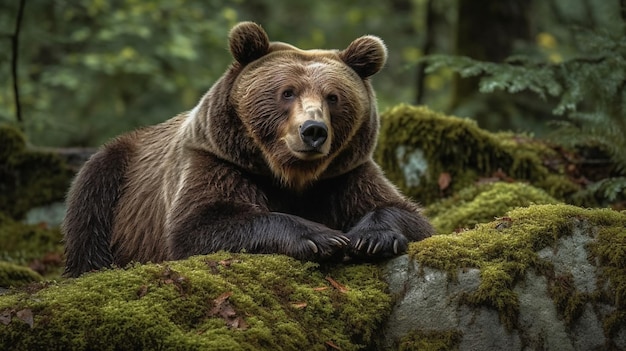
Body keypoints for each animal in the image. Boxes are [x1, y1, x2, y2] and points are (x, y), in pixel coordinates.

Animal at [63, 23, 434, 280]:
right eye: (287, 92)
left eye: (333, 97)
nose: (313, 131)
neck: (291, 175)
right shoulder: (218, 162)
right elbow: (200, 226)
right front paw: (323, 238)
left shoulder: (343, 175)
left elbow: (406, 213)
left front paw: (370, 238)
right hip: (117, 178)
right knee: (88, 213)